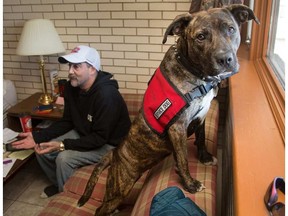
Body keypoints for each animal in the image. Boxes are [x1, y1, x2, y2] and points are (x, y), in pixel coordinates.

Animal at [77, 4, 260, 215]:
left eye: (230, 29)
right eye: (200, 37)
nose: (225, 59)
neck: (193, 71)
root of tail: (114, 153)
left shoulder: (201, 117)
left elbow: (202, 138)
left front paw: (204, 157)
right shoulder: (177, 127)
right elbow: (183, 159)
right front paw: (190, 184)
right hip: (119, 188)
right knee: (101, 208)